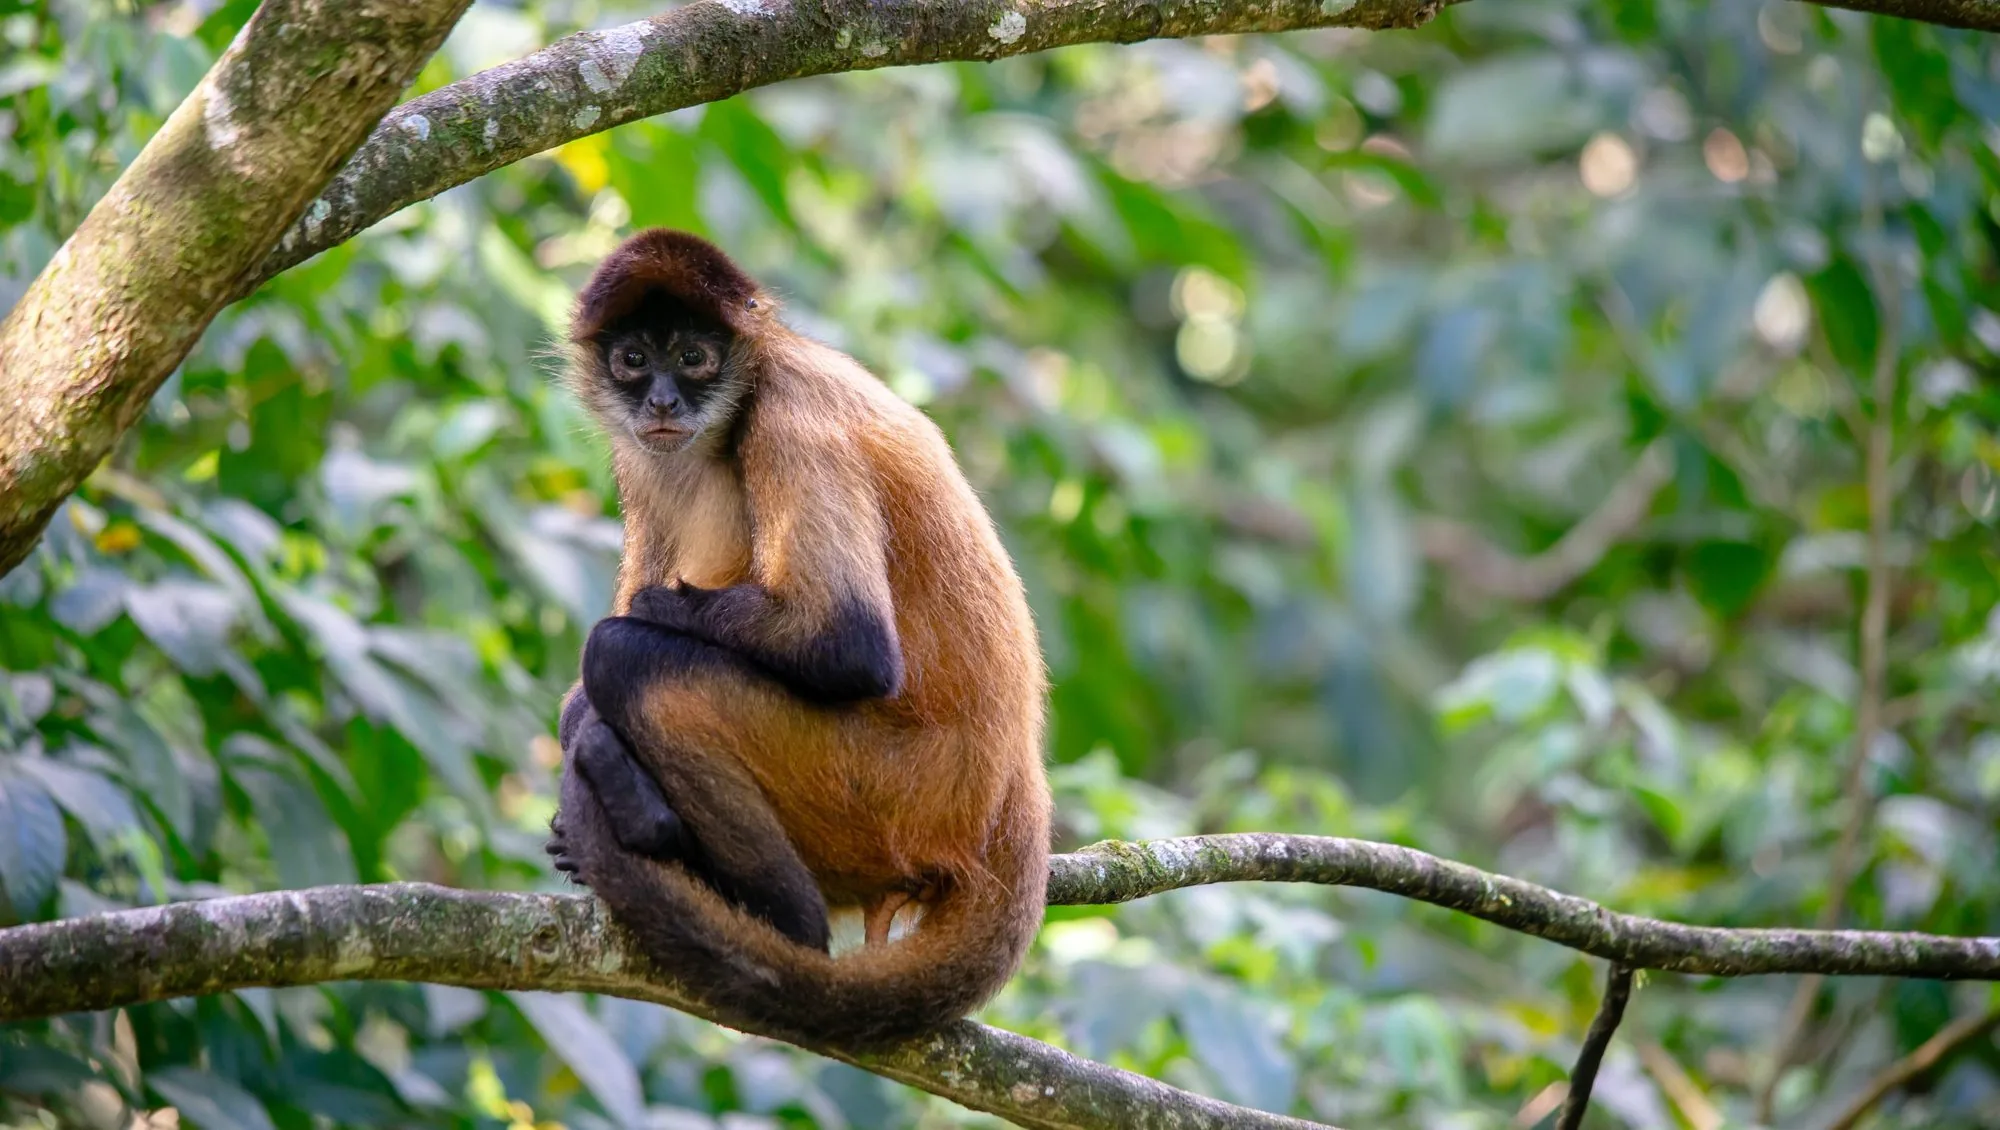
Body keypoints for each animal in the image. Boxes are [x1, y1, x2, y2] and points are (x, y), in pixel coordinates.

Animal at [542, 228, 1052, 1048]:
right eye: (633, 359)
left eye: (693, 356)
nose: (661, 400)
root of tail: (1014, 787)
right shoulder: (640, 455)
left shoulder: (790, 415)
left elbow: (850, 646)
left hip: (882, 791)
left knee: (627, 656)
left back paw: (773, 914)